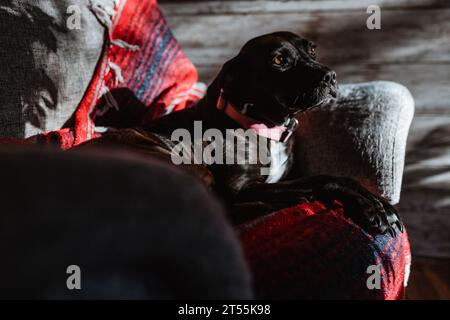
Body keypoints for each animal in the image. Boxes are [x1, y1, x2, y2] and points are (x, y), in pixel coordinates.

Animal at [81, 32, 404, 236]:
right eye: (279, 61)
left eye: (311, 50)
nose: (330, 76)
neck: (265, 127)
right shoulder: (241, 187)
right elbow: (327, 178)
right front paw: (372, 209)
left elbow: (336, 178)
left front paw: (382, 204)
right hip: (182, 164)